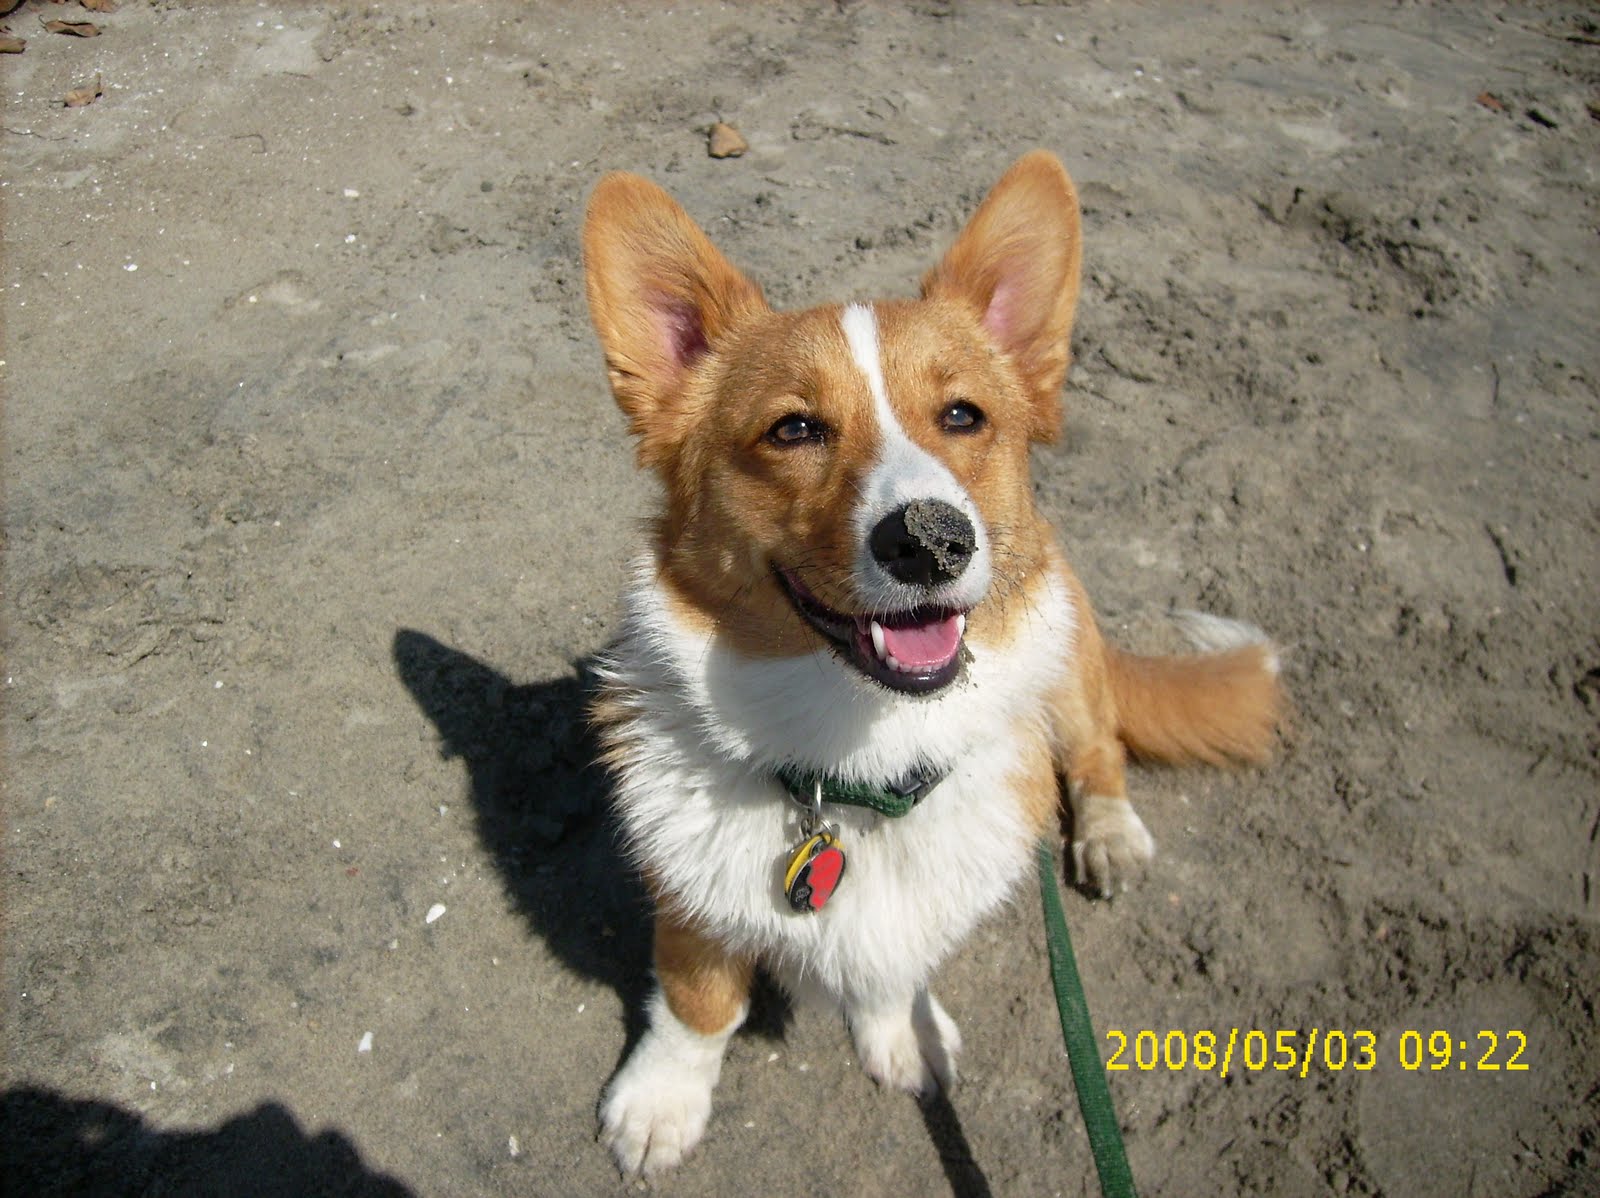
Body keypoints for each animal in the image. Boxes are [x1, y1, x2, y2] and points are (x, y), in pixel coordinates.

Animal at [580, 150, 1281, 1175]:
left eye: (963, 414)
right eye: (794, 430)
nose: (933, 540)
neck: (856, 761)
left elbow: (895, 964)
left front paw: (900, 1030)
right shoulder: (691, 898)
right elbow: (698, 1000)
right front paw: (663, 1100)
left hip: (1070, 656)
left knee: (1100, 746)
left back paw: (1109, 831)